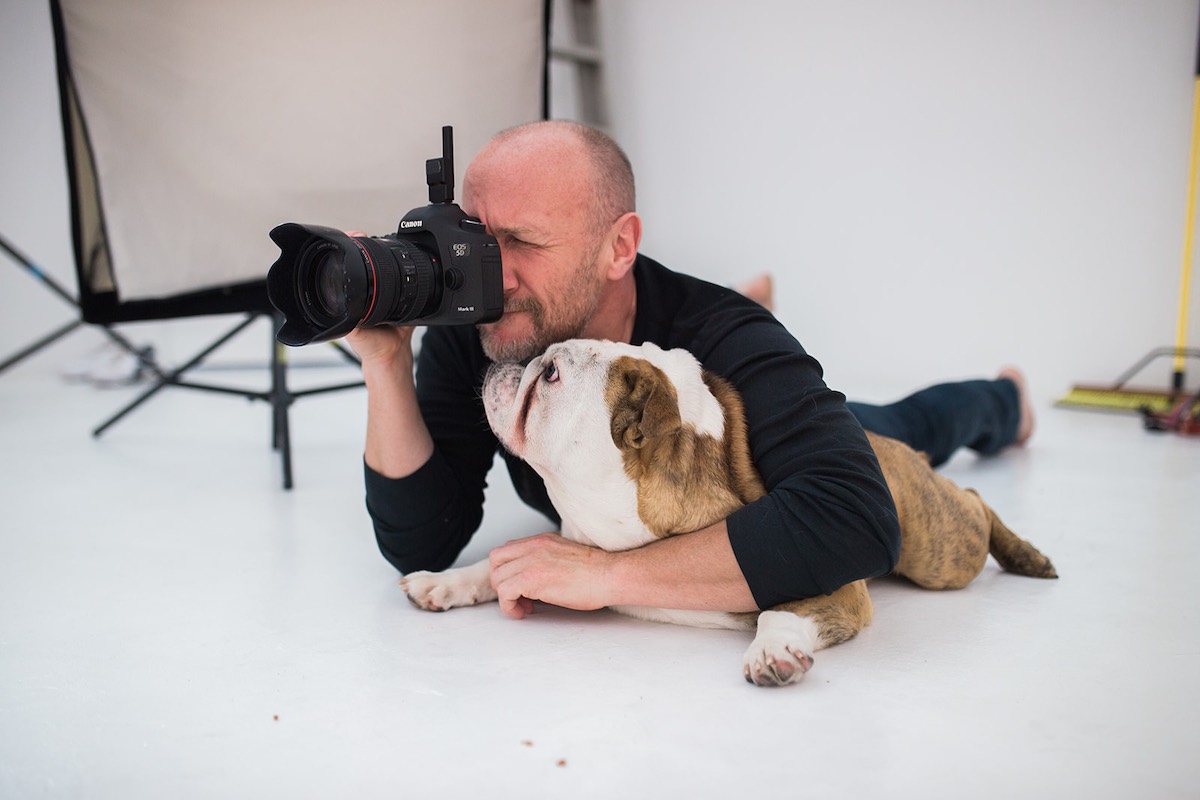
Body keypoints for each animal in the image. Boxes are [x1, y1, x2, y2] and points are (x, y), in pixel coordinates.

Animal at [398, 340, 1056, 686]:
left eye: (551, 374)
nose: (507, 362)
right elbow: (491, 566)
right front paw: (442, 581)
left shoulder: (831, 580)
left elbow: (782, 611)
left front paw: (772, 650)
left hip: (935, 552)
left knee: (974, 503)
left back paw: (1024, 554)